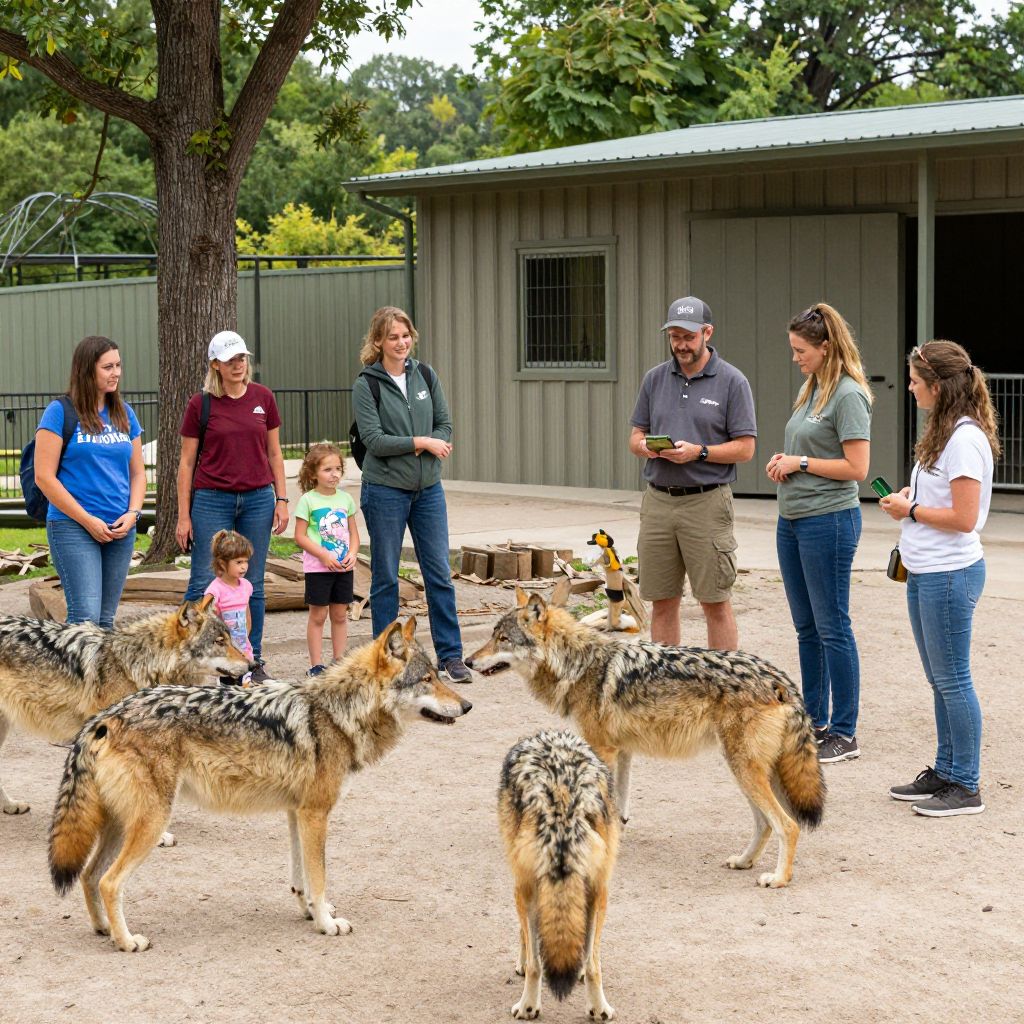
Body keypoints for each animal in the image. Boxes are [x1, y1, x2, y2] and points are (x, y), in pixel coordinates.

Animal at [48, 616, 472, 952]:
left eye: (437, 676)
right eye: (427, 679)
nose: (468, 706)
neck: (337, 714)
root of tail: (104, 718)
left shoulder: (297, 813)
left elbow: (302, 879)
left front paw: (310, 912)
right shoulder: (316, 814)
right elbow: (319, 877)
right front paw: (327, 923)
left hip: (121, 824)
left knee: (89, 875)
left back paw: (104, 929)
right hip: (150, 823)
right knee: (109, 882)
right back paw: (126, 941)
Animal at [469, 584, 825, 888]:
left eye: (503, 639)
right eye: (493, 636)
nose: (468, 661)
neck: (578, 663)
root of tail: (781, 681)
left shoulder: (603, 749)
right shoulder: (622, 751)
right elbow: (620, 806)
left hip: (746, 770)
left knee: (788, 825)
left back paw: (778, 878)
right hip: (752, 771)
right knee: (765, 823)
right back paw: (743, 861)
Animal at [499, 730, 620, 1021]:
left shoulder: (521, 886)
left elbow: (527, 941)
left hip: (527, 888)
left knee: (536, 963)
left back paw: (527, 1005)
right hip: (599, 891)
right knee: (593, 965)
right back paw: (599, 1009)